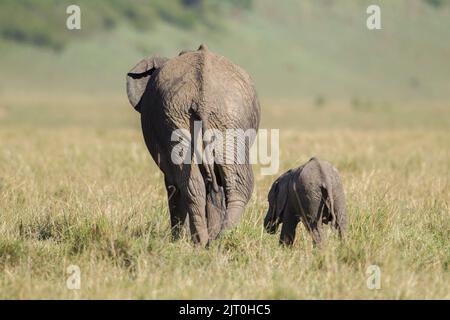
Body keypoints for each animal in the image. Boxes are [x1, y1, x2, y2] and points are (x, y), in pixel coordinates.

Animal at [125, 44, 260, 245]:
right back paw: (212, 241)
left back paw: (210, 241)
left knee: (204, 184)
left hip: (218, 118)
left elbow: (174, 185)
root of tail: (202, 98)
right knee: (207, 184)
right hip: (189, 119)